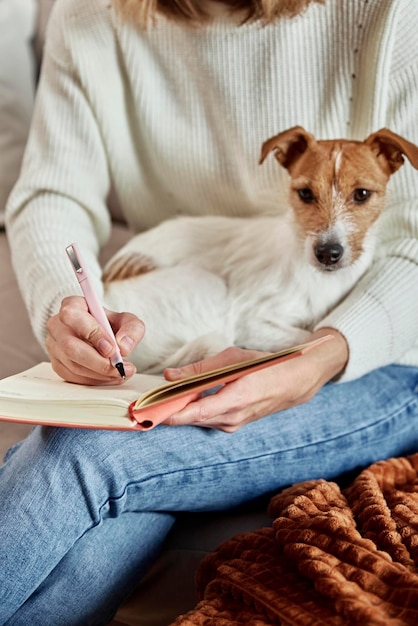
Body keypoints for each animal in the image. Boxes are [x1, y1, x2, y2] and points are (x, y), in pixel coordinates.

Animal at [103, 124, 418, 372]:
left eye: (362, 194)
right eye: (305, 193)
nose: (328, 253)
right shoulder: (251, 321)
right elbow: (308, 336)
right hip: (209, 286)